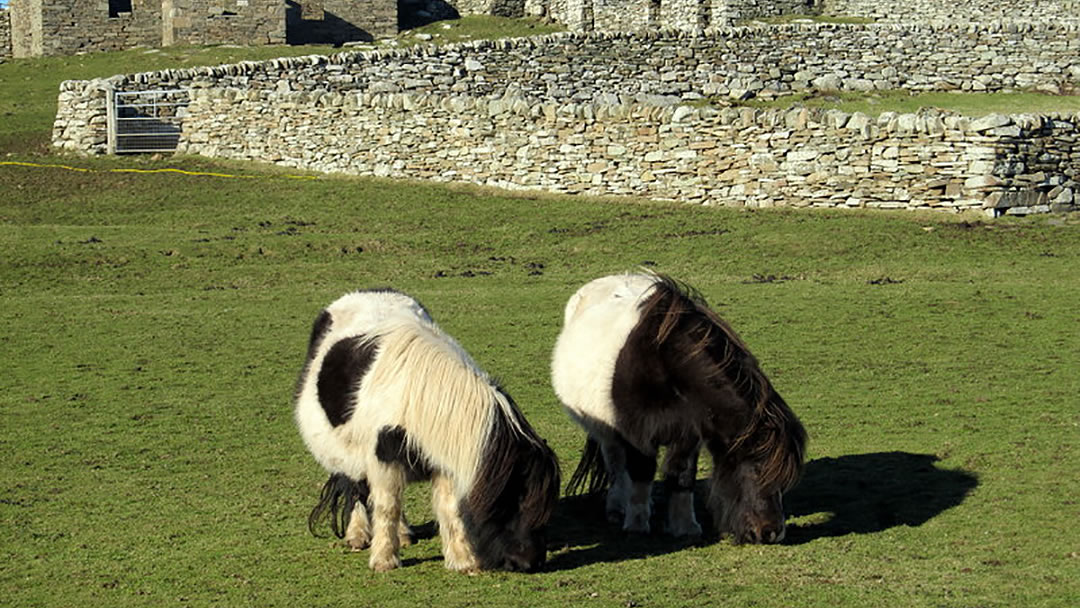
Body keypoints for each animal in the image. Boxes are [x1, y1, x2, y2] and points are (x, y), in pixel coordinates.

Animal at [298, 289, 561, 570]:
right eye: (519, 499)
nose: (532, 562)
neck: (416, 398)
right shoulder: (382, 458)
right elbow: (386, 506)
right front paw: (384, 560)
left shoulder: (443, 460)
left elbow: (449, 508)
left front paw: (464, 561)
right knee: (356, 488)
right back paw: (358, 535)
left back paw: (404, 535)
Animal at [552, 273, 807, 544]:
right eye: (758, 470)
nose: (772, 533)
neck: (663, 362)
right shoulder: (638, 434)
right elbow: (642, 472)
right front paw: (636, 524)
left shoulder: (689, 434)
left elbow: (682, 476)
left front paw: (685, 527)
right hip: (606, 429)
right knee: (616, 463)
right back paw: (618, 508)